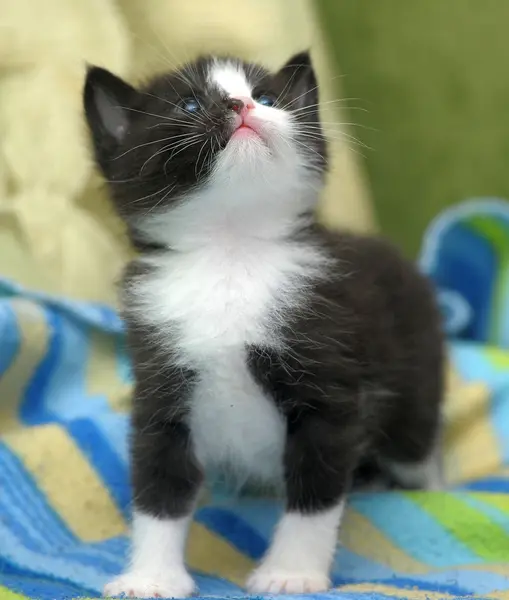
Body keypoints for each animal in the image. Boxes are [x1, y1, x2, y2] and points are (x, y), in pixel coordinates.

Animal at [85, 51, 442, 596]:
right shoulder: (159, 388)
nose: (242, 105)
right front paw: (150, 577)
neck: (231, 252)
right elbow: (158, 488)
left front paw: (291, 571)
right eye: (190, 104)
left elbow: (315, 490)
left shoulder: (329, 387)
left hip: (414, 384)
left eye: (268, 97)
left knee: (415, 448)